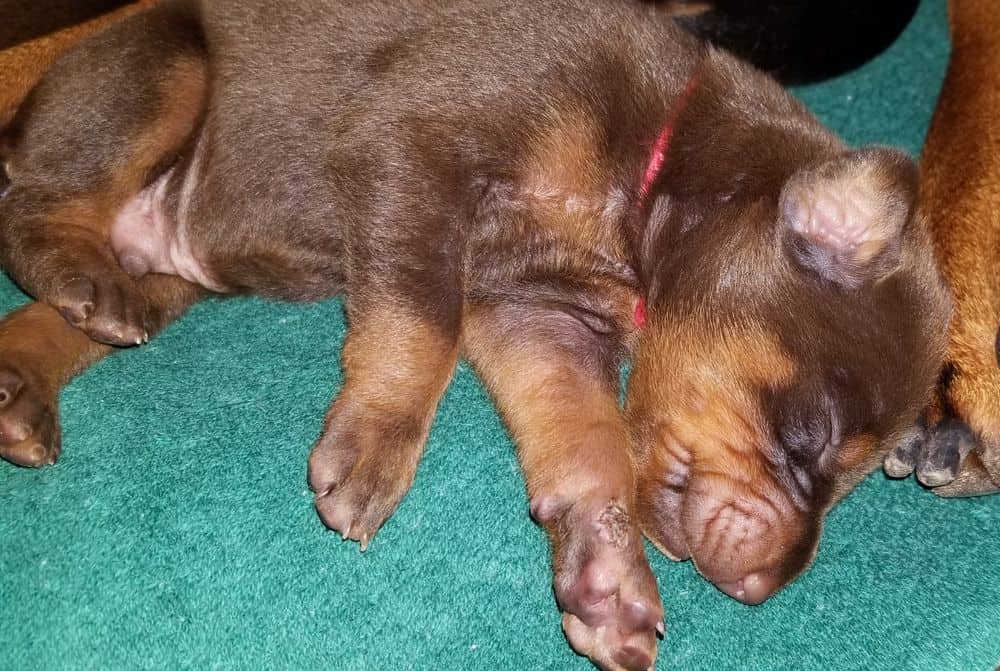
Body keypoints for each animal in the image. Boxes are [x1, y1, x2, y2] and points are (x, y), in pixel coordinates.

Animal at [0, 1, 948, 671]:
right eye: (809, 437)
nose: (760, 589)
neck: (655, 161)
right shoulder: (413, 145)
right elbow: (421, 321)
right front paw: (375, 446)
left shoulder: (543, 315)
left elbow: (590, 443)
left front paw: (607, 580)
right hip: (165, 67)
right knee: (33, 210)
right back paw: (77, 275)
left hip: (173, 268)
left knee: (61, 305)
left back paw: (24, 388)